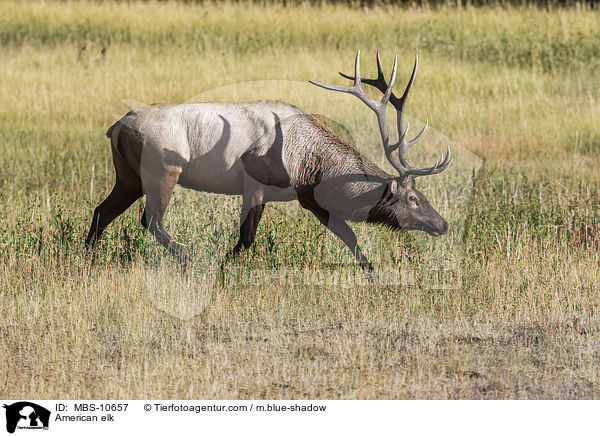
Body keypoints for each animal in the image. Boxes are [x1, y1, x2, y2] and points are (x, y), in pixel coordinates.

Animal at [84, 51, 450, 276]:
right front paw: (220, 269)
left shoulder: (307, 197)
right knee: (150, 220)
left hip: (128, 176)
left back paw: (85, 260)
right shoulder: (256, 185)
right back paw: (187, 261)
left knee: (101, 211)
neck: (310, 165)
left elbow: (348, 236)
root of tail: (115, 127)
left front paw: (372, 273)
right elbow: (246, 238)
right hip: (162, 171)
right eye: (413, 198)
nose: (443, 224)